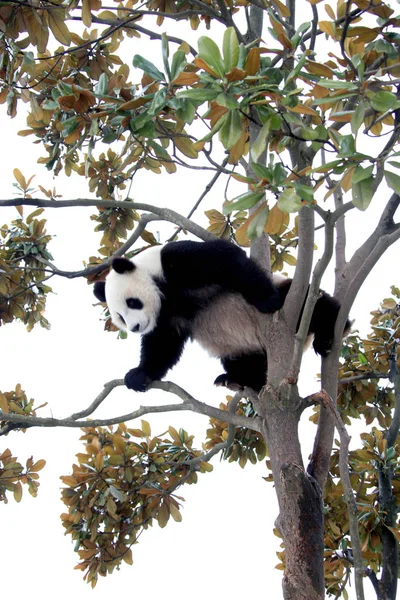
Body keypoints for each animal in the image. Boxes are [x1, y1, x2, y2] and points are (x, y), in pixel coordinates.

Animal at [93, 239, 350, 394]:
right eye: (120, 317)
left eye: (132, 302)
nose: (136, 327)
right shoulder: (167, 315)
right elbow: (162, 345)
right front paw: (138, 376)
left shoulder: (174, 263)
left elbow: (226, 259)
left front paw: (267, 299)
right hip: (246, 348)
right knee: (245, 359)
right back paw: (241, 380)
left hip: (293, 303)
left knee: (315, 306)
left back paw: (329, 333)